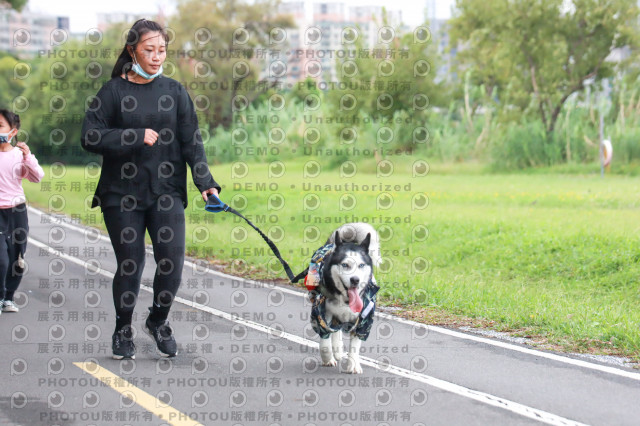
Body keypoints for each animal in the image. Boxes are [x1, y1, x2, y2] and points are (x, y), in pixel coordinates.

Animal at [308, 221, 380, 374]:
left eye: (361, 265)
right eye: (345, 265)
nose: (355, 280)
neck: (346, 301)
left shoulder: (363, 321)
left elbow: (355, 345)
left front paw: (353, 364)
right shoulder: (320, 313)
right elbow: (325, 341)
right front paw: (328, 358)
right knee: (335, 330)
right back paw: (336, 350)